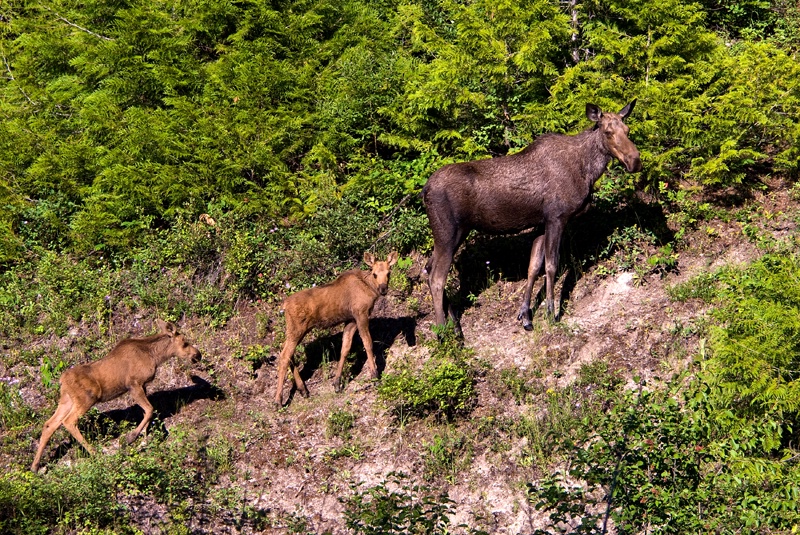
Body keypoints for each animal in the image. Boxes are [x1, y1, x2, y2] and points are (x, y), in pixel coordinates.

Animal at [31, 320, 202, 472]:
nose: (198, 355)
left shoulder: (143, 385)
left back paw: (35, 466)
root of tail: (61, 381)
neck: (155, 356)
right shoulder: (134, 384)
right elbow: (150, 410)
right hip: (87, 398)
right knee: (68, 421)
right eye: (185, 342)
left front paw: (144, 439)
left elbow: (147, 411)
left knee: (50, 424)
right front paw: (131, 437)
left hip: (66, 401)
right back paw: (95, 452)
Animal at [276, 251, 400, 406]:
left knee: (287, 353)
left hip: (296, 331)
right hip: (297, 329)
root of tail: (284, 305)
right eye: (375, 274)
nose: (383, 289)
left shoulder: (351, 320)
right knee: (284, 356)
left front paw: (336, 383)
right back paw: (278, 400)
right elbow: (368, 344)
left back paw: (303, 390)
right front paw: (374, 376)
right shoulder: (361, 314)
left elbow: (345, 349)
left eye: (389, 273)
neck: (370, 287)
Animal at [424, 100, 644, 336]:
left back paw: (455, 325)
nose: (635, 161)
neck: (587, 171)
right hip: (448, 233)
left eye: (627, 130)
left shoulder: (541, 223)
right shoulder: (557, 217)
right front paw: (551, 312)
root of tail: (424, 191)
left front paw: (526, 316)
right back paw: (443, 332)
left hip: (453, 234)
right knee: (437, 278)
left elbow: (534, 266)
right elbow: (551, 265)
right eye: (608, 132)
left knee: (427, 268)